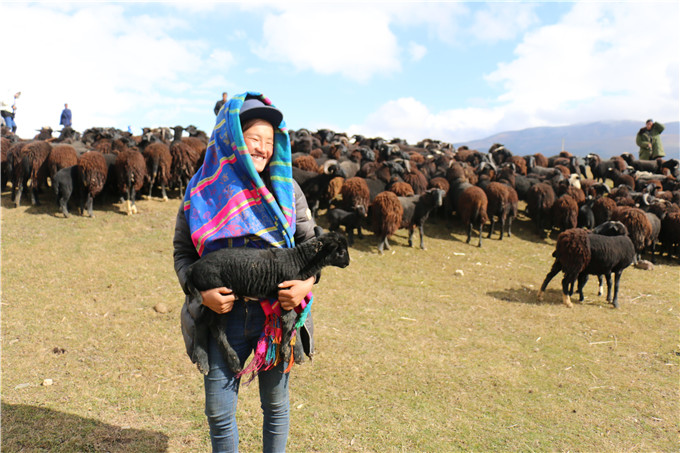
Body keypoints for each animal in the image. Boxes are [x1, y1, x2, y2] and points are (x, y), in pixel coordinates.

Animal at [185, 231, 350, 372]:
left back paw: (206, 361)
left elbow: (293, 321)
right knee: (214, 327)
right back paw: (229, 361)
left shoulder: (290, 296)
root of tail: (192, 268)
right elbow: (289, 320)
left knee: (203, 322)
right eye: (341, 252)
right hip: (219, 297)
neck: (300, 261)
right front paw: (285, 351)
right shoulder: (286, 291)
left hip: (213, 300)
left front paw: (295, 352)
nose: (348, 263)